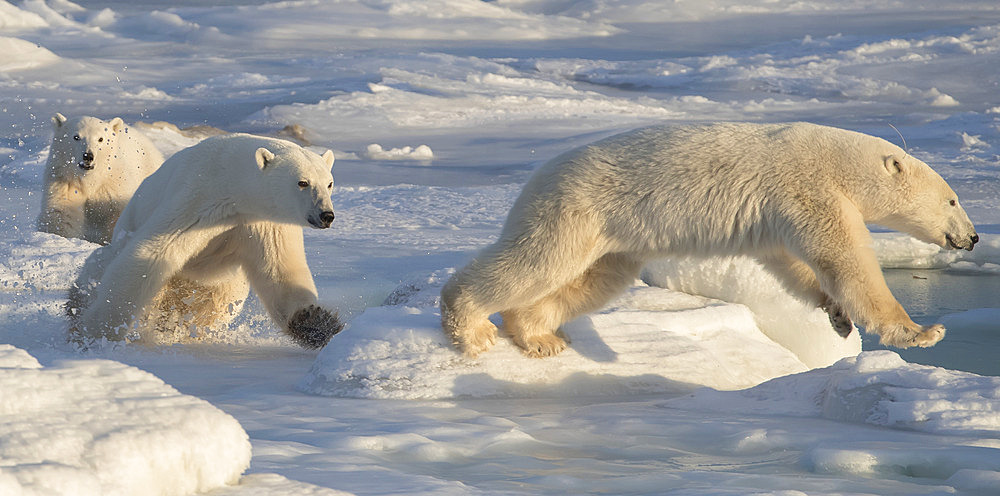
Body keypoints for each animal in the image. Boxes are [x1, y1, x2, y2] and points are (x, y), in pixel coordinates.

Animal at [38, 112, 164, 244]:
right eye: (76, 137)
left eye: (100, 139)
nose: (88, 156)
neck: (90, 179)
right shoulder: (65, 180)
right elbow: (63, 212)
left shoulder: (113, 185)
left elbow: (116, 214)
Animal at [66, 133, 342, 348]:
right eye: (302, 182)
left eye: (329, 183)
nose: (326, 215)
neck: (234, 184)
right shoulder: (199, 199)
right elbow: (152, 254)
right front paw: (95, 330)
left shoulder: (265, 223)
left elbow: (280, 270)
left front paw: (318, 323)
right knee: (101, 268)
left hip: (222, 284)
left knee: (217, 305)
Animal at [442, 122, 980, 358]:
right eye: (953, 199)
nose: (974, 237)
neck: (837, 160)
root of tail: (536, 177)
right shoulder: (808, 188)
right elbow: (847, 259)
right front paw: (921, 332)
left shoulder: (779, 214)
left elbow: (787, 262)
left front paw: (837, 316)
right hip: (576, 211)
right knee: (536, 262)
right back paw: (472, 328)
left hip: (615, 238)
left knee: (592, 280)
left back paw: (538, 336)